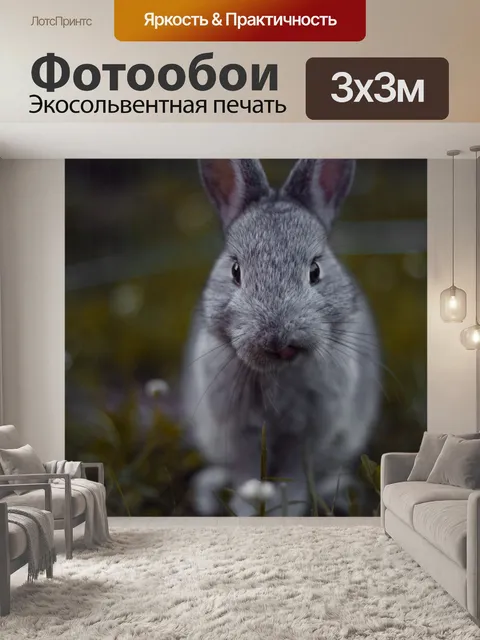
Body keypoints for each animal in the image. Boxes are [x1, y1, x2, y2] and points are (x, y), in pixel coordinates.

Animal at [180, 159, 381, 517]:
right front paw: (249, 511)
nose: (278, 340)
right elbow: (247, 474)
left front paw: (286, 509)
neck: (278, 372)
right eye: (235, 271)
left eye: (315, 271)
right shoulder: (238, 433)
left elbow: (296, 474)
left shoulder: (308, 436)